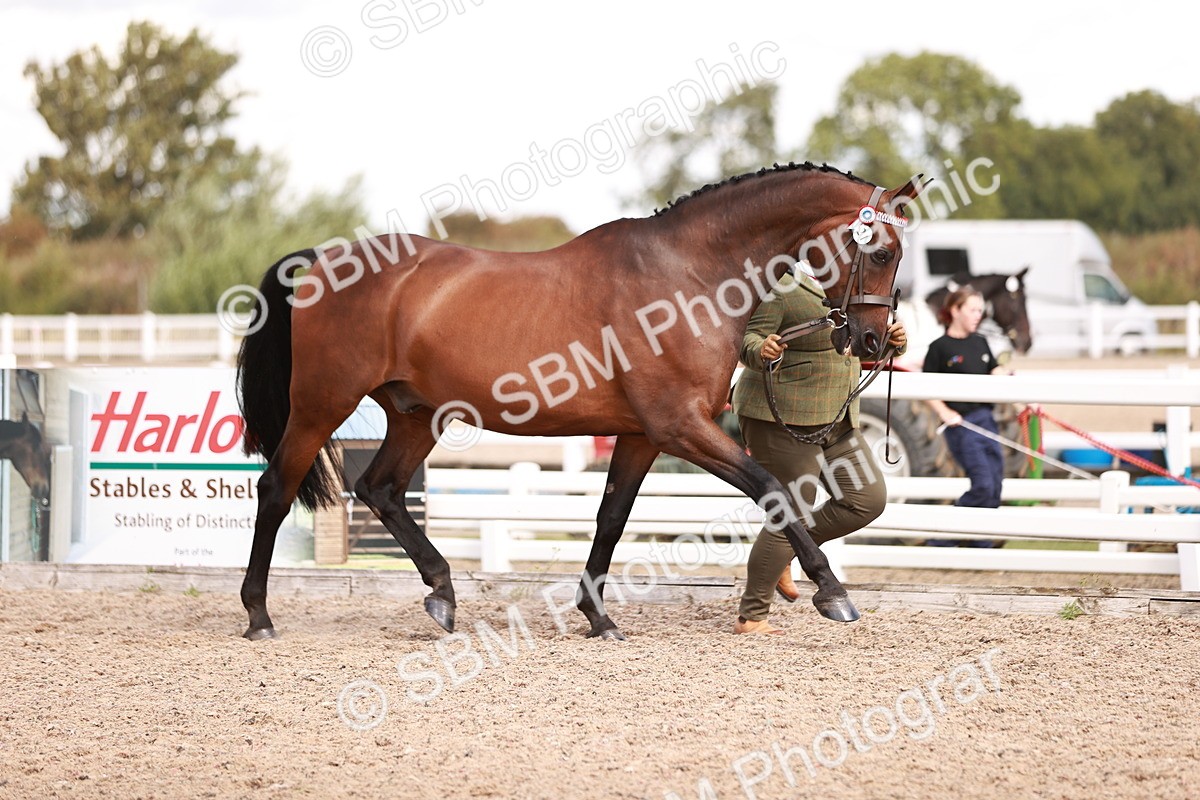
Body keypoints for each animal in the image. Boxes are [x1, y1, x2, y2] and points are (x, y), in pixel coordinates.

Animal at [236, 162, 925, 641]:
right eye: (881, 251)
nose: (872, 341)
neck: (688, 274)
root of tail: (320, 261)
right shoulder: (681, 428)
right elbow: (772, 489)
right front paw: (833, 593)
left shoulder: (643, 435)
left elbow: (611, 518)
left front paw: (597, 617)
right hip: (321, 405)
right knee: (277, 490)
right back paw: (259, 615)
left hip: (415, 416)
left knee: (379, 489)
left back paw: (442, 594)